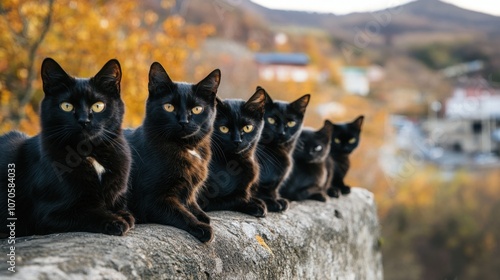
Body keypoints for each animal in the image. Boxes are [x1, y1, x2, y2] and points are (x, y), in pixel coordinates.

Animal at [0, 58, 134, 237]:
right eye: (67, 106)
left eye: (98, 106)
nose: (84, 120)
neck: (90, 154)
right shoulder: (49, 213)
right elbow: (89, 212)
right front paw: (116, 221)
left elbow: (123, 209)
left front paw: (123, 215)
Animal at [125, 62, 219, 242]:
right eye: (169, 107)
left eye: (197, 109)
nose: (183, 121)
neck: (187, 148)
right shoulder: (153, 199)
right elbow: (181, 213)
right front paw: (201, 227)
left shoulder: (189, 191)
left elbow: (191, 205)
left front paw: (202, 217)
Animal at [199, 87, 270, 217]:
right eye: (224, 128)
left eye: (247, 128)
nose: (237, 140)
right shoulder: (202, 199)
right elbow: (235, 198)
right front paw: (255, 204)